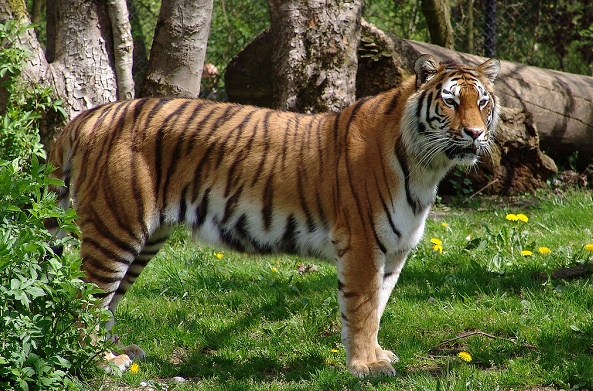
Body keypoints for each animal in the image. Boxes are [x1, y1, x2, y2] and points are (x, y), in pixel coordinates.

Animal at [47, 53, 500, 378]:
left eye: (482, 103)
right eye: (450, 102)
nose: (476, 134)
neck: (427, 167)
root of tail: (91, 114)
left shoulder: (393, 250)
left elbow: (378, 307)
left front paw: (375, 356)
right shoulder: (362, 244)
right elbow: (363, 308)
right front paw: (365, 367)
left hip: (144, 237)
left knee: (106, 301)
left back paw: (118, 352)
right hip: (115, 227)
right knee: (83, 296)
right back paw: (99, 362)